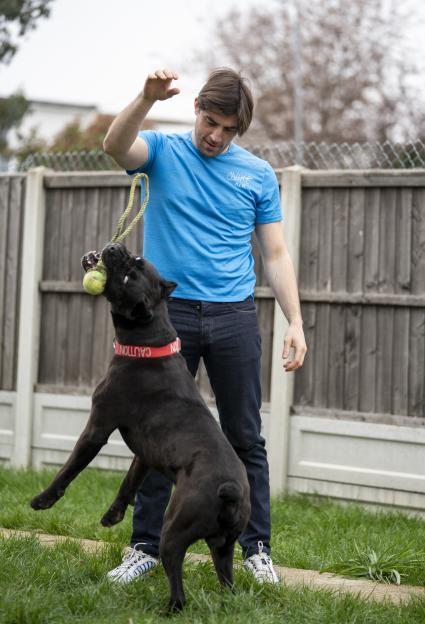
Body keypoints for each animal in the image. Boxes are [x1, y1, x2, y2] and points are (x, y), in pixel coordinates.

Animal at [31, 243, 250, 608]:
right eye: (136, 261)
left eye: (128, 276)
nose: (116, 247)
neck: (149, 342)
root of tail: (229, 489)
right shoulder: (145, 455)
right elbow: (129, 483)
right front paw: (113, 516)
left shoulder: (97, 428)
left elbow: (69, 468)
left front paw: (43, 500)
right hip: (224, 546)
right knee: (227, 582)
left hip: (174, 531)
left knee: (178, 587)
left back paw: (168, 609)